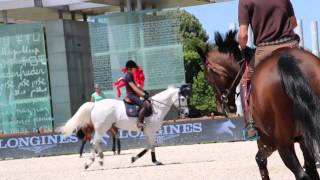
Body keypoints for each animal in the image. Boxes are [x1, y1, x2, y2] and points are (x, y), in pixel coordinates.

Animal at [62, 85, 190, 169]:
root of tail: (95, 105)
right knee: (94, 142)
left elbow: (149, 146)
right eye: (183, 99)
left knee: (95, 142)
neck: (157, 108)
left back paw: (99, 159)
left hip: (102, 129)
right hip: (102, 128)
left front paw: (137, 158)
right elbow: (152, 145)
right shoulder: (151, 131)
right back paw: (92, 162)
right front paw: (153, 161)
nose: (187, 113)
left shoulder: (148, 132)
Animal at [199, 30, 320, 179]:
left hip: (282, 143)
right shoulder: (303, 141)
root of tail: (286, 59)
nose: (222, 107)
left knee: (300, 174)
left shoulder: (266, 142)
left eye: (207, 78)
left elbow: (260, 161)